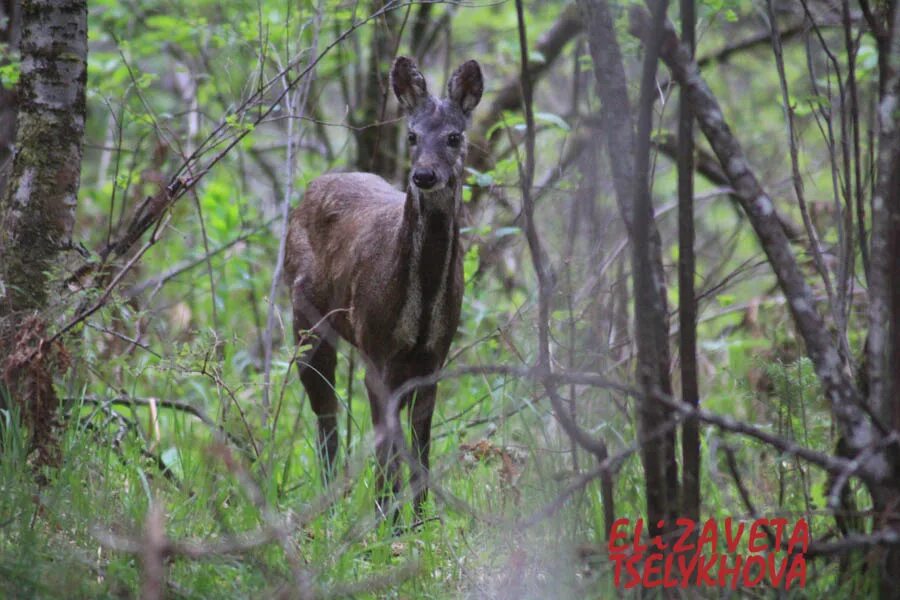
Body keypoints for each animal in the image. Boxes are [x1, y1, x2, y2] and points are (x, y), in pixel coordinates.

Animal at [284, 55, 486, 516]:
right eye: (411, 135)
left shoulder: (435, 354)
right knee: (325, 410)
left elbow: (420, 444)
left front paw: (420, 519)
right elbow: (386, 449)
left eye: (454, 136)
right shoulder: (377, 350)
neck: (421, 302)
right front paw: (386, 519)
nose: (424, 175)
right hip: (305, 317)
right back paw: (332, 504)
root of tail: (310, 189)